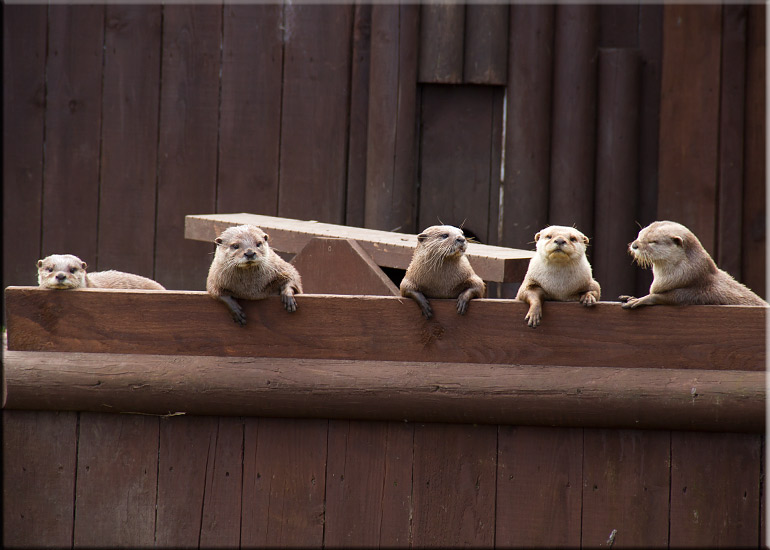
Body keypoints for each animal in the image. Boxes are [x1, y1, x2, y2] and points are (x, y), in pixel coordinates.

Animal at [620, 220, 766, 308]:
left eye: (652, 241)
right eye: (640, 234)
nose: (634, 245)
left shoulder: (694, 289)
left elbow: (669, 297)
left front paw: (640, 300)